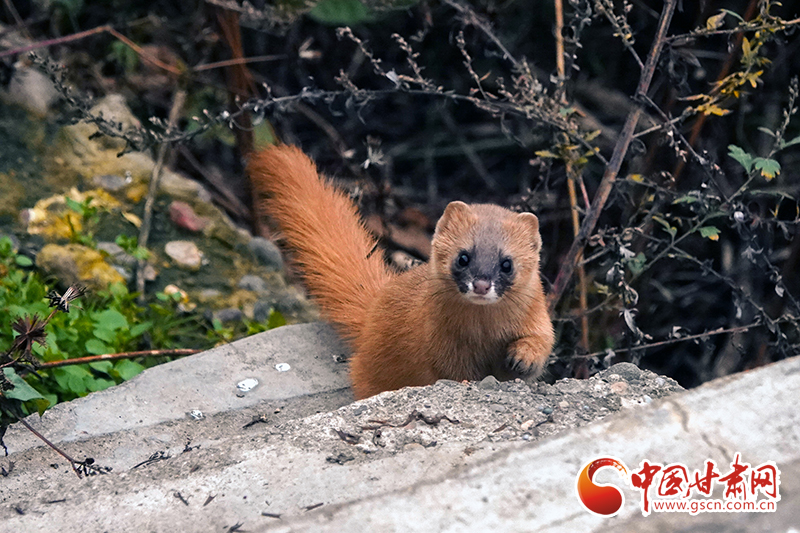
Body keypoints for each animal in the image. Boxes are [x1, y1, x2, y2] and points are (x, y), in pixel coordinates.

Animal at [247, 143, 552, 396]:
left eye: (507, 263)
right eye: (463, 257)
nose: (480, 284)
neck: (483, 333)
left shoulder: (538, 317)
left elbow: (543, 342)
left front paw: (523, 357)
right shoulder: (440, 345)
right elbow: (452, 373)